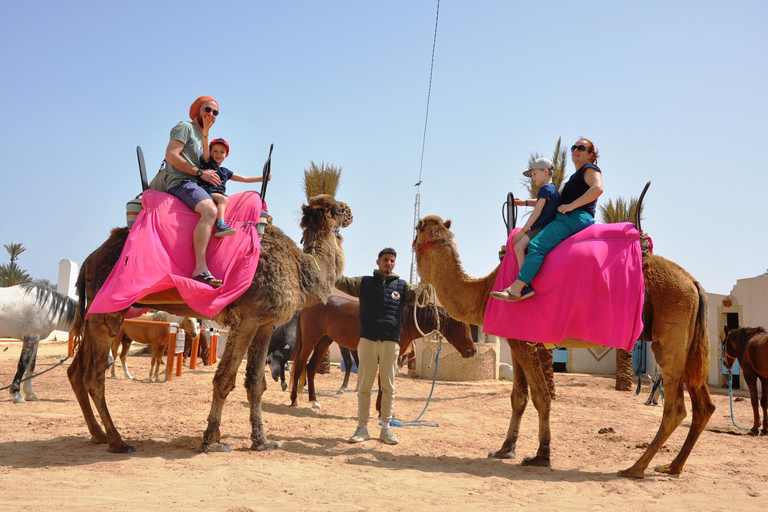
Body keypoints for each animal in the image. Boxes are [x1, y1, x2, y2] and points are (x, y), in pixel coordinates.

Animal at [69, 194, 352, 454]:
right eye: (337, 208)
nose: (349, 213)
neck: (300, 268)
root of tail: (90, 258)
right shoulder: (247, 318)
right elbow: (225, 378)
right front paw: (212, 440)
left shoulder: (265, 323)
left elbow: (256, 383)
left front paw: (262, 441)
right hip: (108, 312)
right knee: (93, 375)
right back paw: (117, 441)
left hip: (95, 313)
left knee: (75, 371)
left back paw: (98, 434)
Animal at [292, 296, 476, 408]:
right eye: (462, 325)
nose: (472, 351)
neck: (403, 321)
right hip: (310, 341)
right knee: (300, 367)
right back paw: (294, 400)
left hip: (324, 342)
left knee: (311, 368)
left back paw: (314, 401)